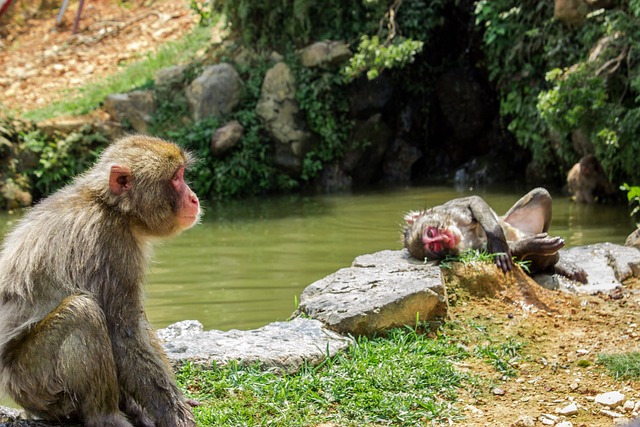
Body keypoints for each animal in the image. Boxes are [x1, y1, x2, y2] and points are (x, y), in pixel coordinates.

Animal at [0, 136, 200, 427]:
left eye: (182, 174)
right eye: (175, 178)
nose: (194, 198)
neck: (111, 207)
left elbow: (137, 325)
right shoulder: (112, 245)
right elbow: (123, 335)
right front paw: (175, 415)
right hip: (36, 383)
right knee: (83, 313)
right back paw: (106, 417)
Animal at [402, 188, 588, 282]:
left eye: (431, 233)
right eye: (434, 246)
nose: (446, 238)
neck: (461, 231)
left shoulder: (450, 208)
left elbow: (474, 200)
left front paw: (497, 240)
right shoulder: (466, 250)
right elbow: (487, 250)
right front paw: (532, 245)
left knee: (542, 193)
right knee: (546, 257)